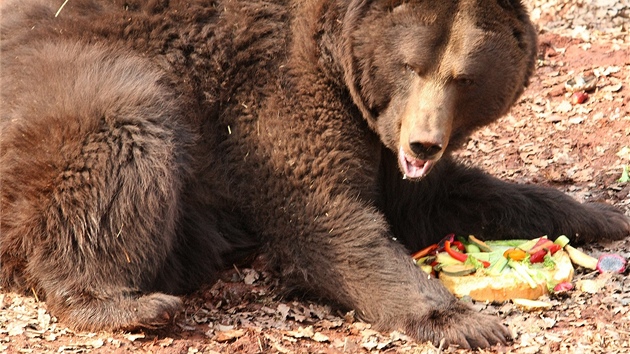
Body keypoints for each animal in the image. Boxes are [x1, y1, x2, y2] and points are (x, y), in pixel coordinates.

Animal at [0, 0, 628, 348]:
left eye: (464, 77)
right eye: (411, 64)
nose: (423, 142)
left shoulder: (391, 146)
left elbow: (442, 198)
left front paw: (601, 213)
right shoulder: (274, 94)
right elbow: (324, 215)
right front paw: (464, 320)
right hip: (73, 85)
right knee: (123, 130)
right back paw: (132, 303)